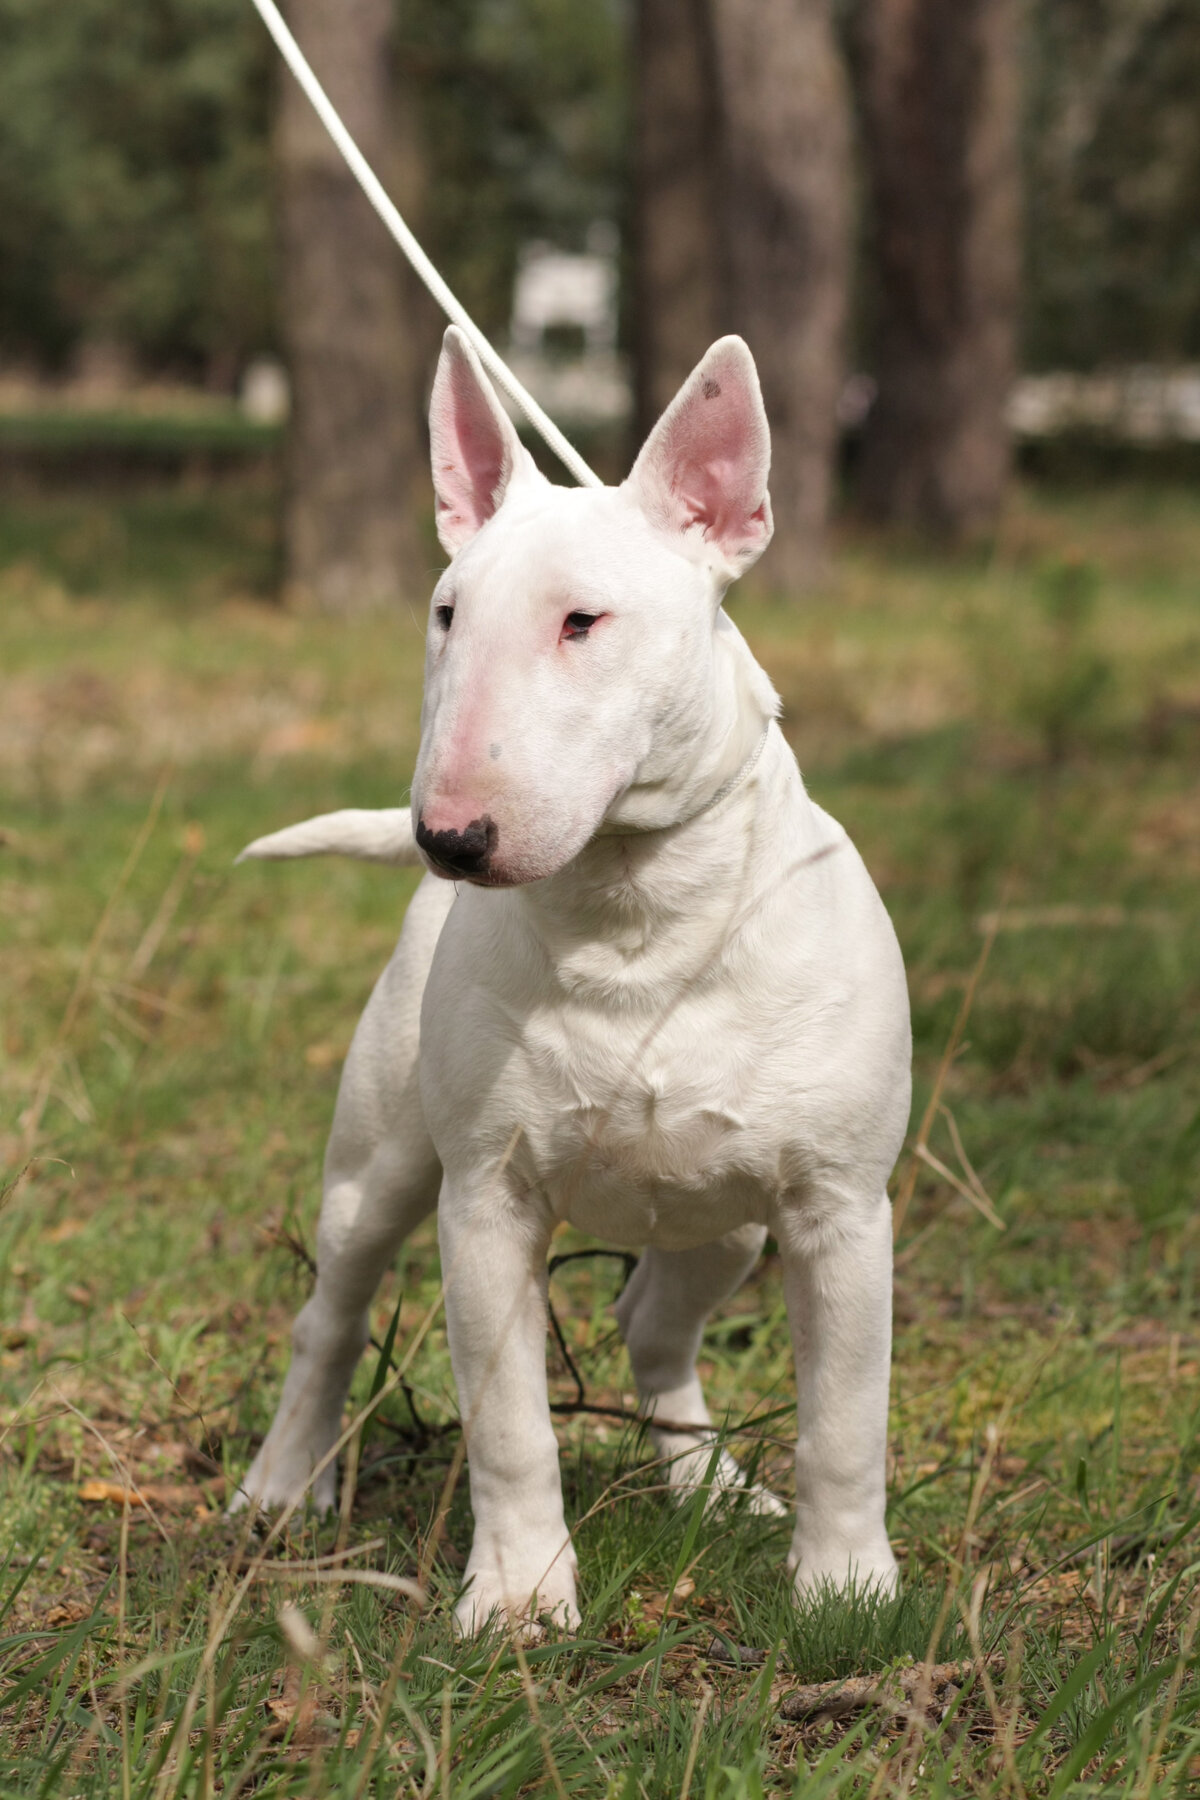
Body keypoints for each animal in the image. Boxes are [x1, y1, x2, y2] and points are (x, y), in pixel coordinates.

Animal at [232, 324, 910, 1634]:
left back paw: (712, 1486)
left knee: (655, 1323)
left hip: (725, 1224)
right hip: (379, 1166)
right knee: (328, 1316)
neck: (637, 916)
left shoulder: (840, 1208)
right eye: (446, 614)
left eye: (582, 622)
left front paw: (846, 1591)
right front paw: (519, 1596)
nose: (450, 839)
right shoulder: (484, 1203)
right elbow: (507, 1424)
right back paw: (285, 1482)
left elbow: (848, 1418)